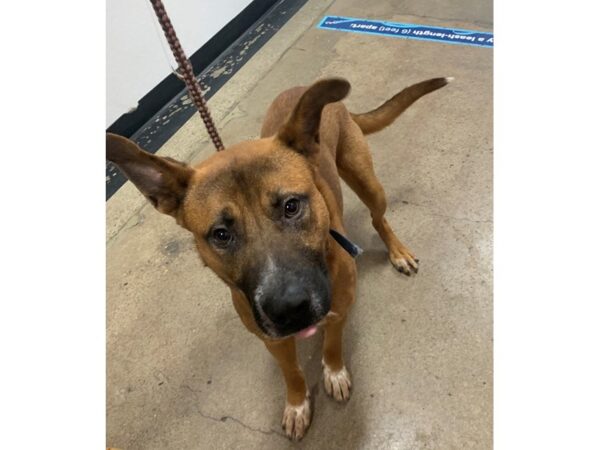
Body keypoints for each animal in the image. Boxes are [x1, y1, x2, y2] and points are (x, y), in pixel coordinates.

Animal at [105, 76, 450, 440]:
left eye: (291, 206)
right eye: (221, 234)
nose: (289, 309)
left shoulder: (339, 310)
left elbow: (332, 345)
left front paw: (334, 372)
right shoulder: (272, 339)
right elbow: (292, 372)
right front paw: (297, 404)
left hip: (367, 181)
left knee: (379, 219)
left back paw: (398, 251)